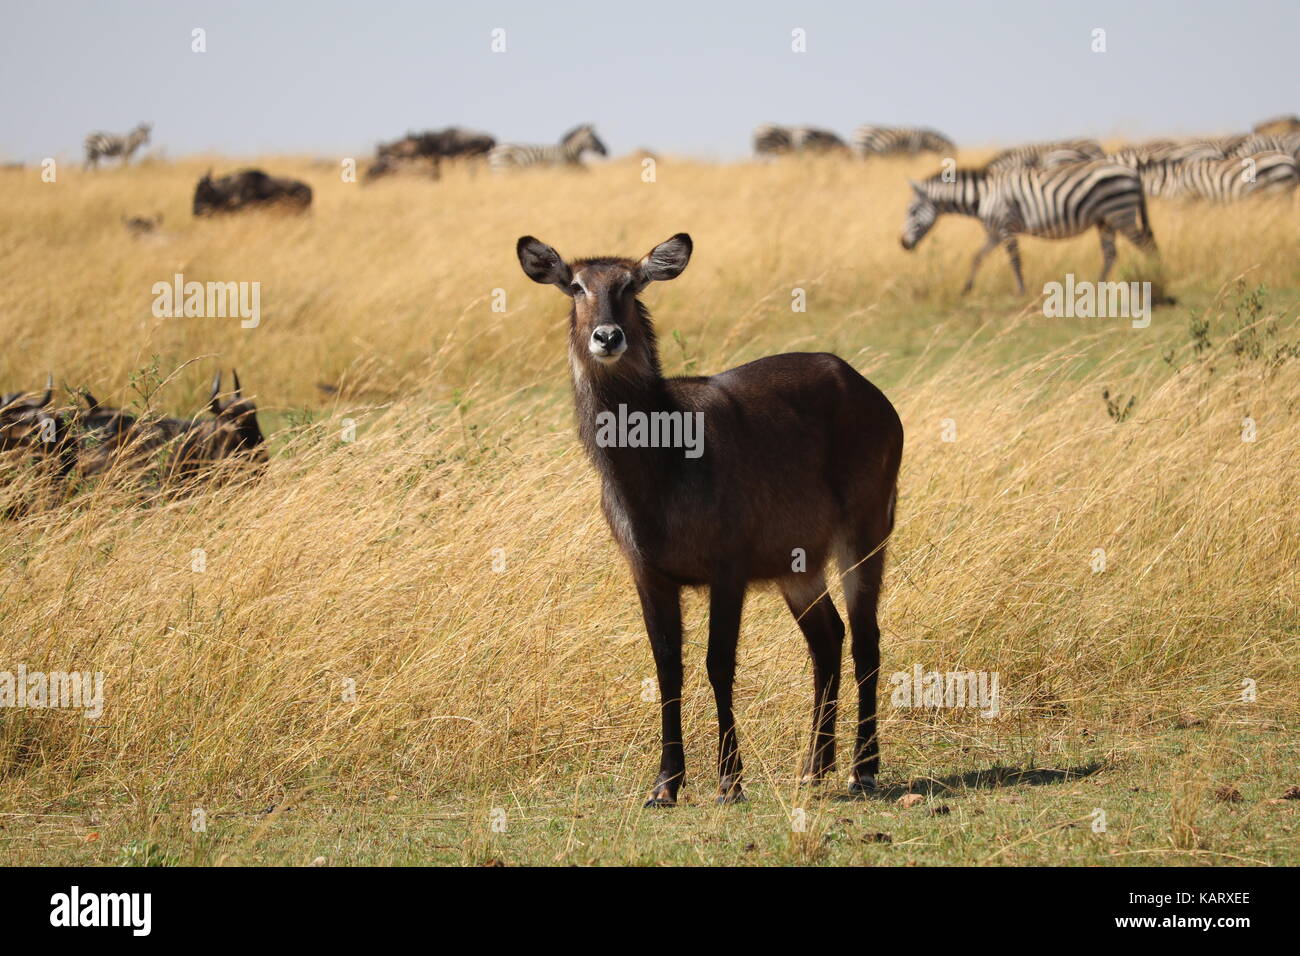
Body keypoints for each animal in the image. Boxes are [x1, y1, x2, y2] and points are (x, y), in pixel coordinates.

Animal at [899, 160, 1154, 297]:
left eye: (912, 211)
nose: (903, 244)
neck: (983, 197)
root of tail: (1133, 173)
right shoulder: (993, 232)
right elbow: (977, 257)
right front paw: (966, 289)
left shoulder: (1006, 227)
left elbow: (1015, 260)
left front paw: (1020, 291)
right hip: (1105, 220)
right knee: (1111, 253)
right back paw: (1093, 288)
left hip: (1119, 213)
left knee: (1146, 245)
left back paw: (1156, 275)